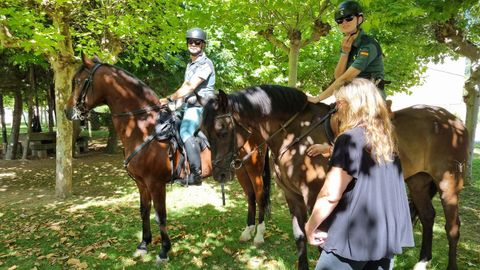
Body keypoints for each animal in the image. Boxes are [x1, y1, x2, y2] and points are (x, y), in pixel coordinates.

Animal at [65, 54, 272, 264]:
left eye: (79, 81)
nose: (68, 111)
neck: (143, 128)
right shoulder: (141, 183)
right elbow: (144, 211)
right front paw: (143, 245)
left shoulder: (155, 183)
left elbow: (161, 216)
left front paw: (164, 251)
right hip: (239, 169)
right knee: (250, 196)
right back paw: (247, 232)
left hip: (254, 167)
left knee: (260, 195)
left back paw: (259, 235)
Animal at [201, 85, 466, 268]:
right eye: (202, 130)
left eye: (221, 131)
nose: (219, 172)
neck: (294, 134)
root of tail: (453, 120)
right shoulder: (292, 196)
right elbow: (300, 237)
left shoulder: (315, 195)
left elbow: (319, 241)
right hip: (418, 182)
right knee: (428, 216)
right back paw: (422, 261)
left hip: (448, 183)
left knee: (453, 227)